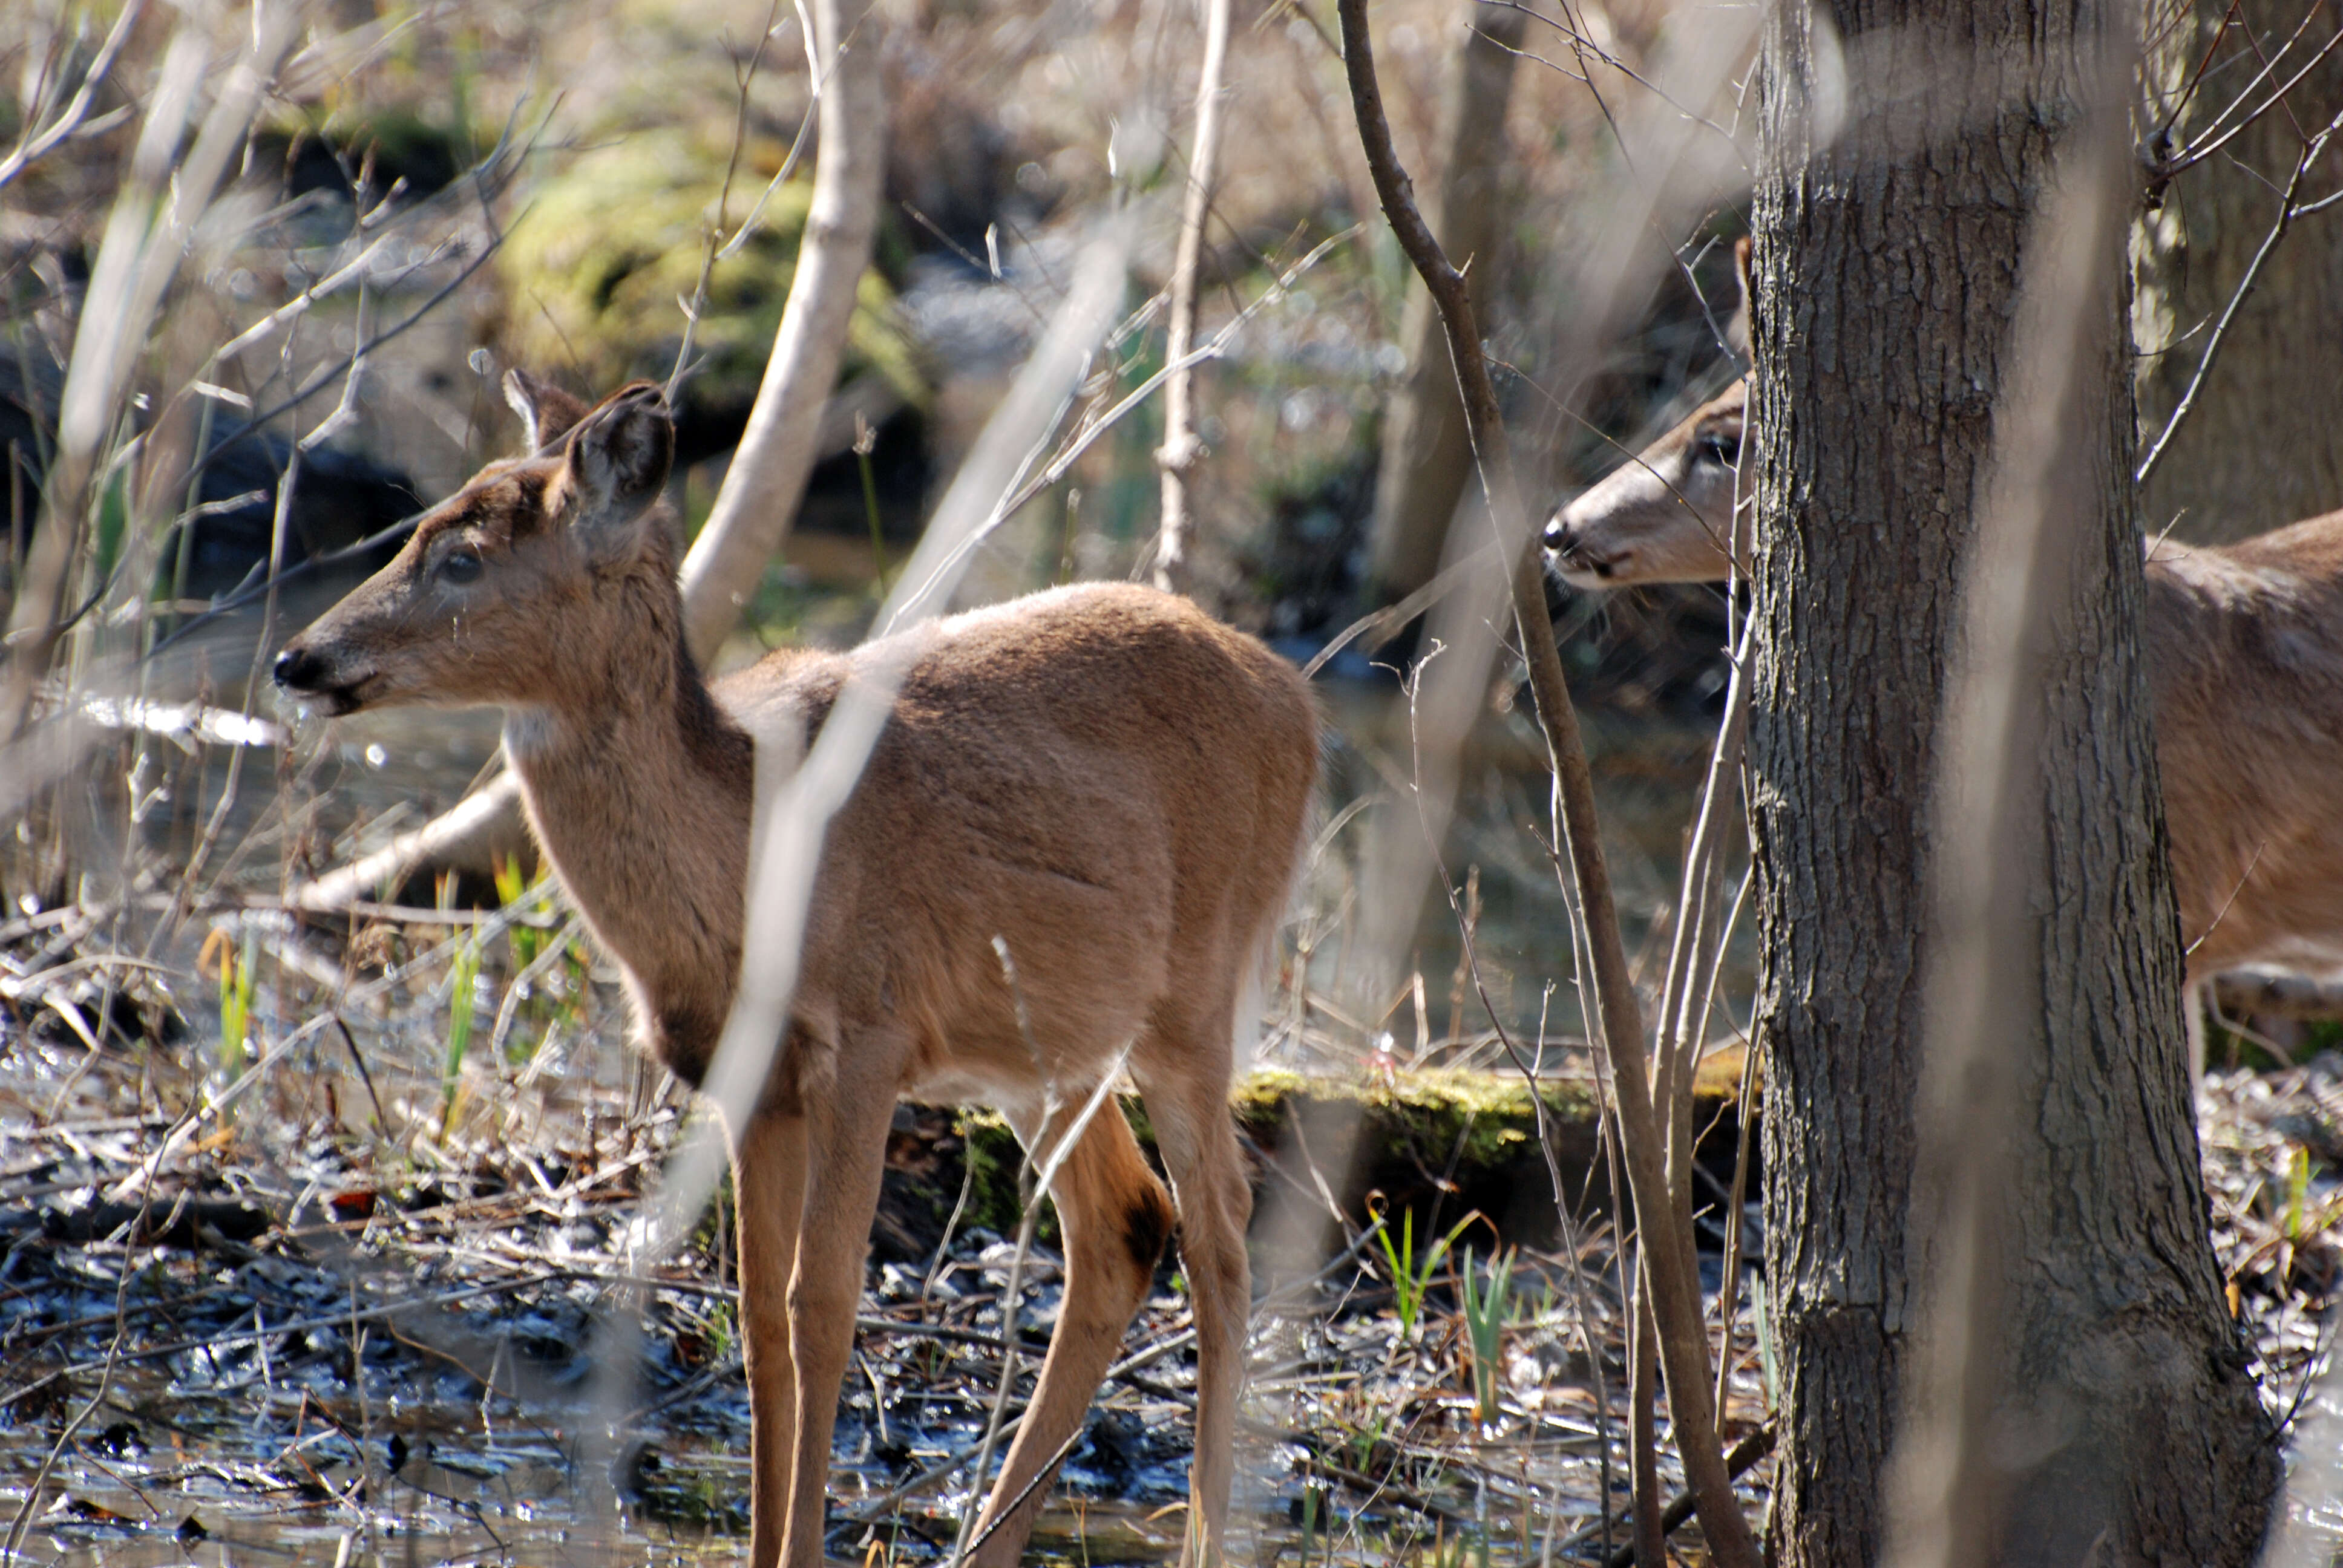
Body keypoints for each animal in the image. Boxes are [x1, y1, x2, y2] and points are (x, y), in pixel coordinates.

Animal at [274, 379, 1321, 1566]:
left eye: (461, 557)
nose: (299, 658)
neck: (749, 858)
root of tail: (1301, 704)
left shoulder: (870, 1031)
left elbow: (822, 1304)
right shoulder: (749, 1075)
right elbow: (759, 1317)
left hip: (1197, 990)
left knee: (1224, 1237)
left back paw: (1199, 1532)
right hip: (1044, 1049)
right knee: (1125, 1224)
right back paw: (988, 1538)